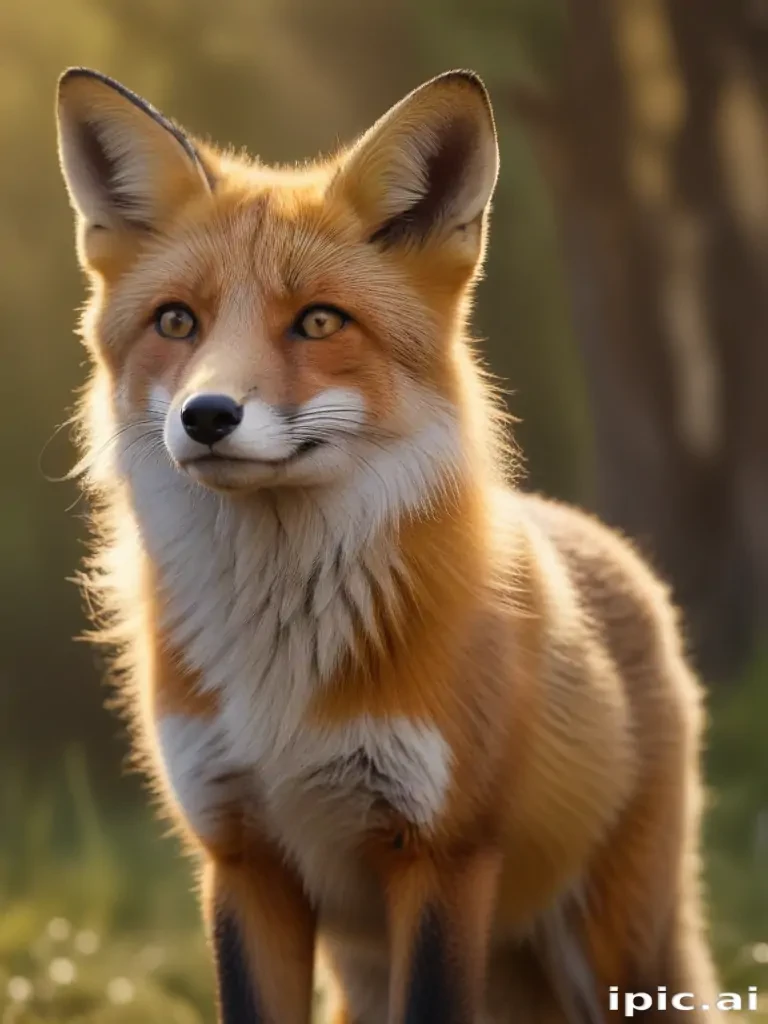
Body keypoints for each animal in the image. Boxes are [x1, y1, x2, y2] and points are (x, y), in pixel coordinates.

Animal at [55, 65, 721, 1024]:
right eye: (176, 323)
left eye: (319, 323)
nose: (207, 416)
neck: (282, 667)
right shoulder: (241, 857)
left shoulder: (443, 856)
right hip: (365, 975)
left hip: (615, 952)